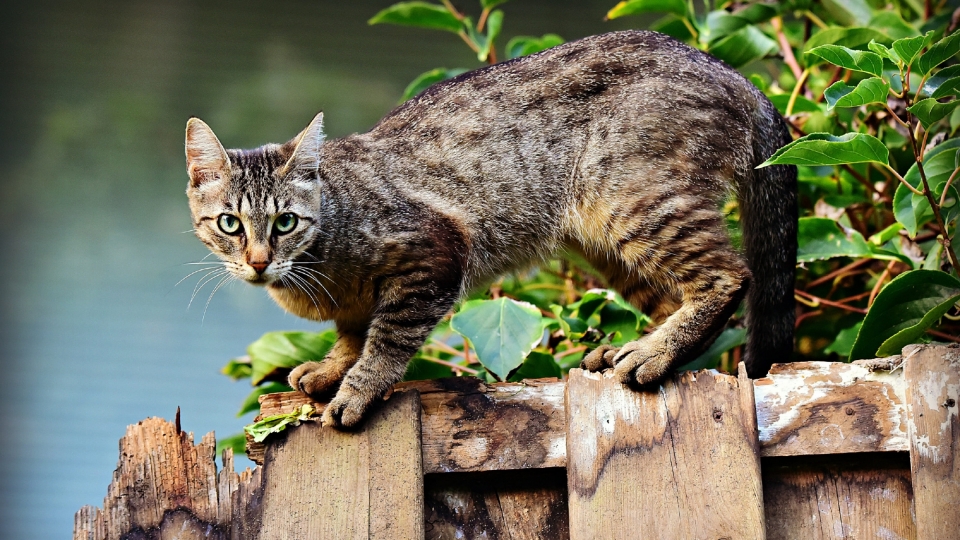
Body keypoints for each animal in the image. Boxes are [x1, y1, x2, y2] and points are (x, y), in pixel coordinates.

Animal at [186, 30, 796, 430]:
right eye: (229, 224)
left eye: (285, 222)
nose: (259, 261)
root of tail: (736, 76)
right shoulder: (357, 303)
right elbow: (352, 334)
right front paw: (333, 368)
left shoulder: (433, 255)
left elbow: (386, 339)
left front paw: (357, 389)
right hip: (603, 241)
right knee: (674, 297)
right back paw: (635, 348)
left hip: (633, 202)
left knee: (729, 276)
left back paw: (653, 353)